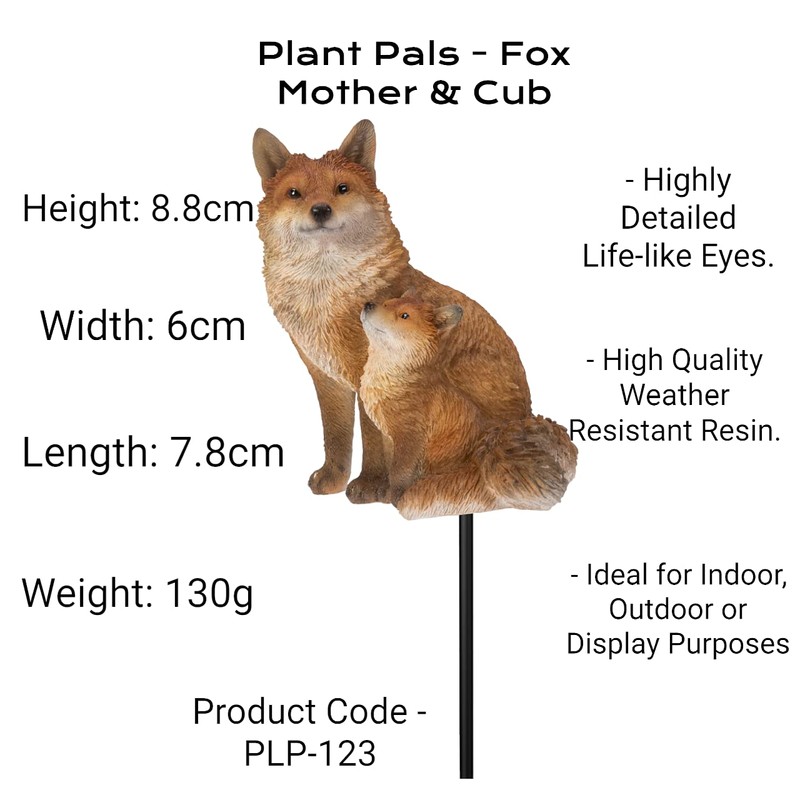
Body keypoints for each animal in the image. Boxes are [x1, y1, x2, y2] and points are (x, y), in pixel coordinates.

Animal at [359, 294, 577, 519]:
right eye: (387, 302)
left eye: (404, 315)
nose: (368, 305)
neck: (394, 377)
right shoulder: (387, 435)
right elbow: (389, 467)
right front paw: (385, 492)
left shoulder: (410, 435)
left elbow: (400, 471)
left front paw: (394, 498)